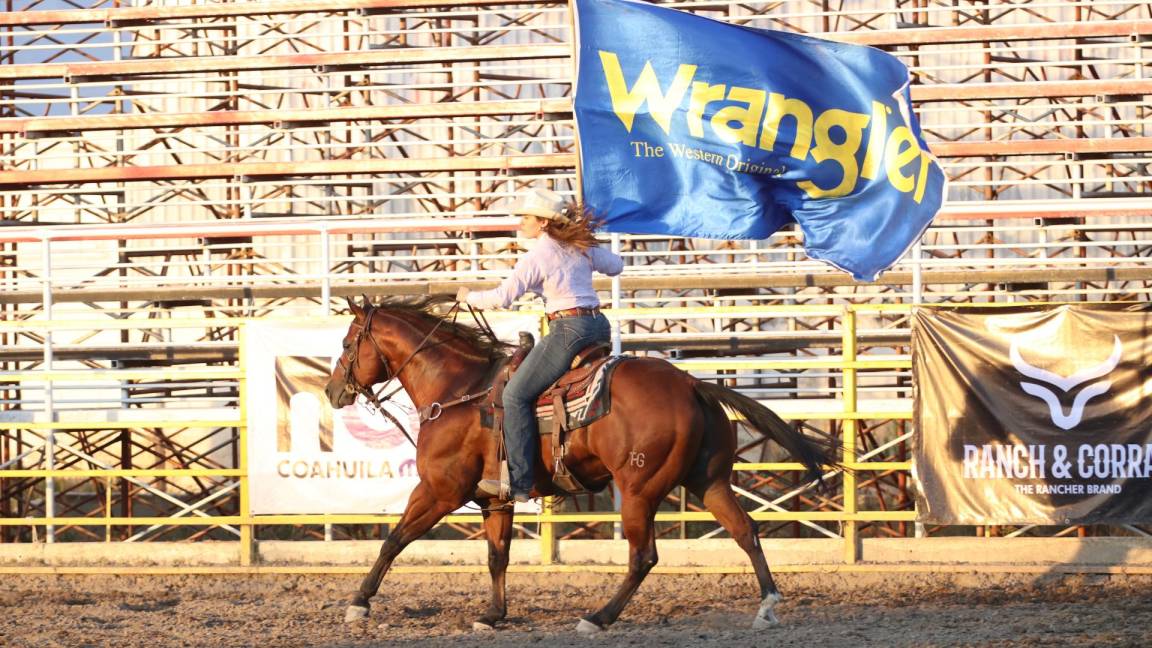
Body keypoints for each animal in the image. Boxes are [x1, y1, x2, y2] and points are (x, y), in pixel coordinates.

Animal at [324, 295, 838, 631]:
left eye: (348, 343)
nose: (332, 391)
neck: (459, 390)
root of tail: (692, 384)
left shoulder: (439, 491)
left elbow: (395, 540)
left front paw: (359, 603)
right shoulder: (495, 500)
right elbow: (496, 555)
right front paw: (493, 615)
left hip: (639, 489)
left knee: (644, 556)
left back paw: (598, 617)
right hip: (708, 481)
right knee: (745, 531)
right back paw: (767, 606)